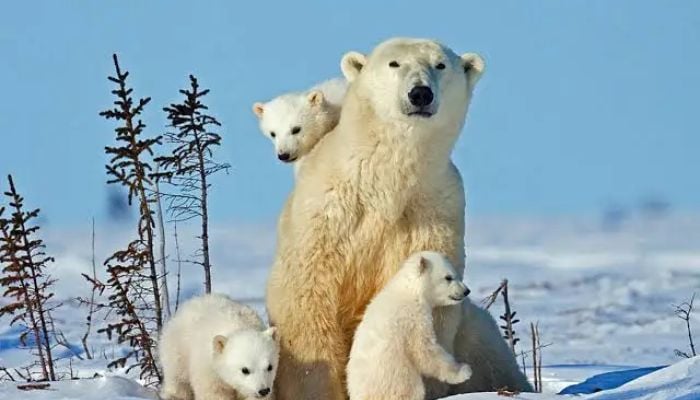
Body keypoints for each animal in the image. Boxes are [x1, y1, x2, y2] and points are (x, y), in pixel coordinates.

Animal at [346, 251, 472, 400]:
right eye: (448, 277)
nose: (466, 291)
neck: (410, 290)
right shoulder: (413, 317)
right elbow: (423, 349)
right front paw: (463, 371)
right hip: (398, 378)